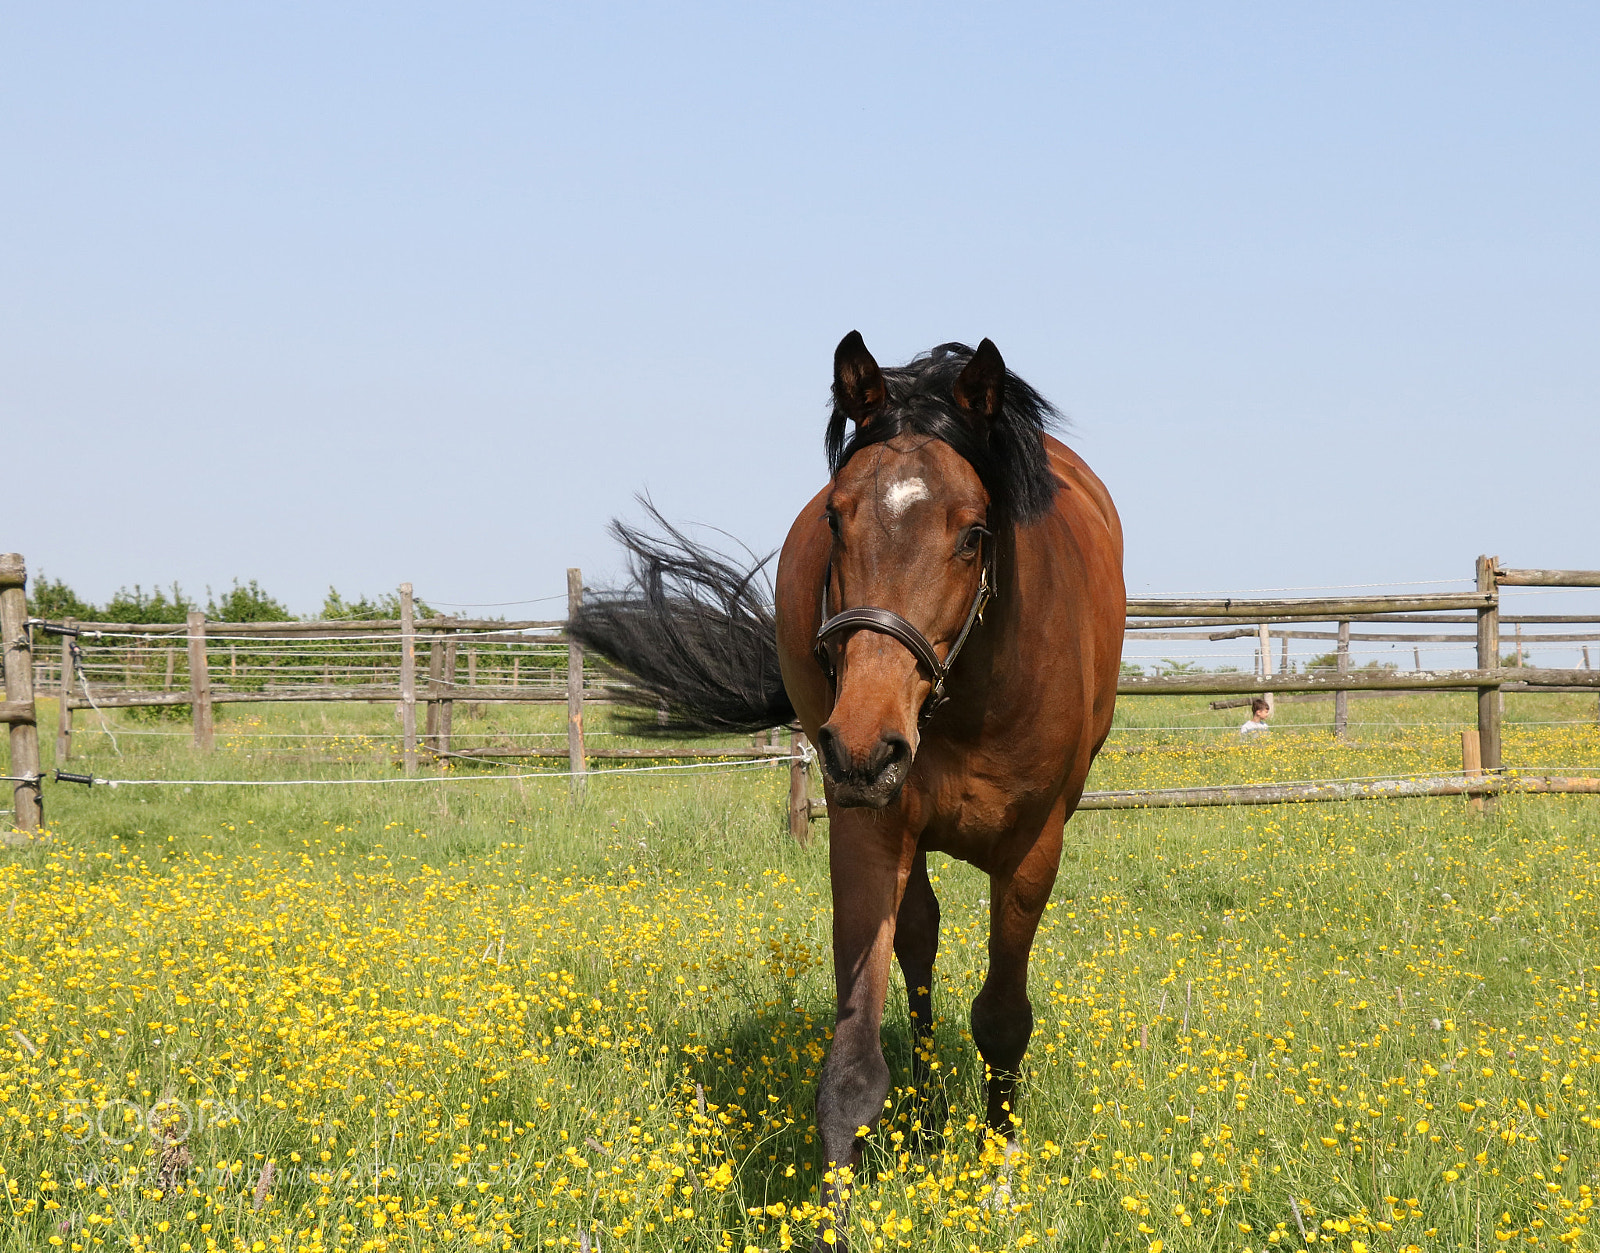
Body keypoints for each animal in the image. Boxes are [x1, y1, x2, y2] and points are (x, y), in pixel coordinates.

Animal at [570, 332, 1124, 1246]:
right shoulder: (866, 831)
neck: (966, 698)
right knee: (920, 946)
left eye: (974, 534)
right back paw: (928, 1119)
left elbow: (1003, 1017)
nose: (863, 744)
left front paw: (999, 1181)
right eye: (836, 517)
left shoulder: (1035, 848)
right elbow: (854, 1064)